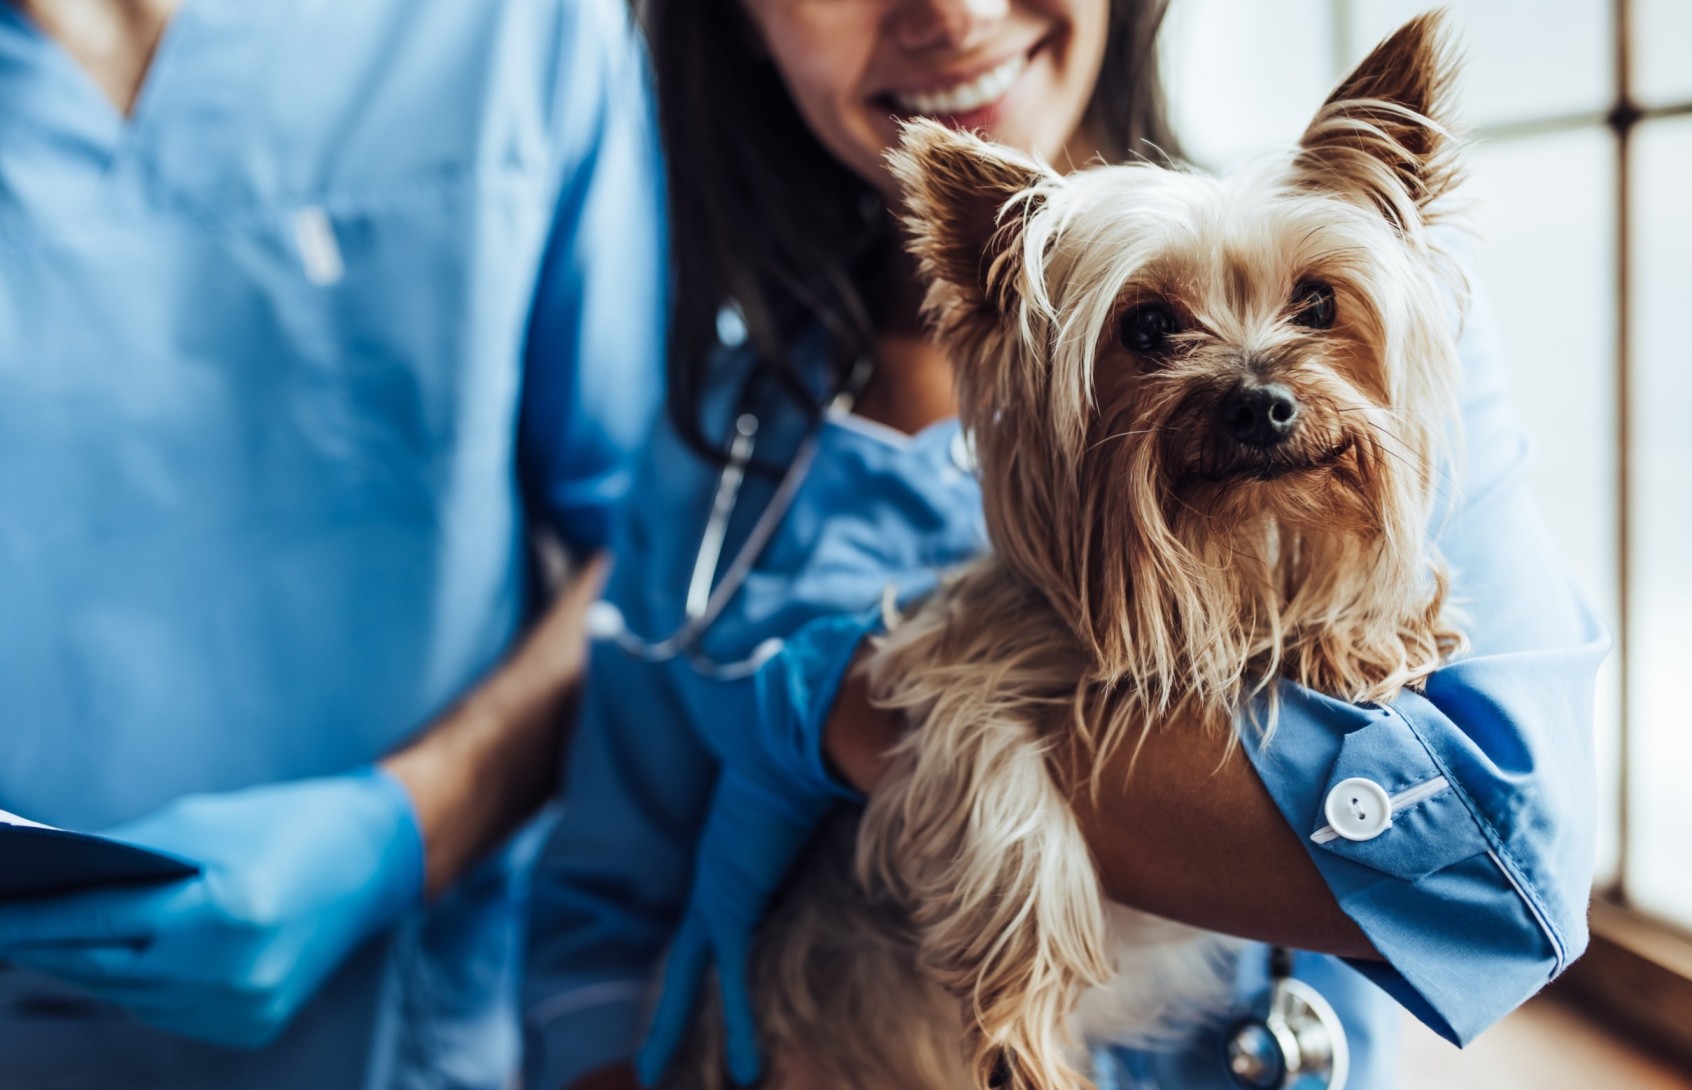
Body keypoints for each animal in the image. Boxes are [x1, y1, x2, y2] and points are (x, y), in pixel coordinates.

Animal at [670, 10, 1468, 1090]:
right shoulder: (948, 671)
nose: (1262, 403)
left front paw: (1361, 629)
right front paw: (1017, 1020)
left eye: (1317, 304)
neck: (1218, 551)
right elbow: (1001, 801)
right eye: (1148, 325)